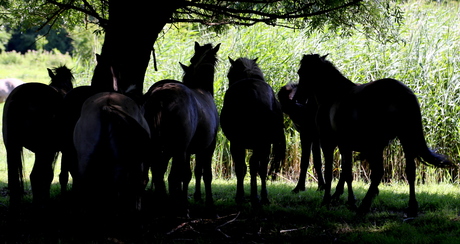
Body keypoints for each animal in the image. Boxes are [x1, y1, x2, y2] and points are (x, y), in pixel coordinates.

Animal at [2, 66, 73, 207]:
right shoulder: (57, 150)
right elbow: (58, 175)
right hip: (43, 150)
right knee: (35, 176)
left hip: (12, 148)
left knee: (14, 180)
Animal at [144, 41, 221, 212]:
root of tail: (160, 95)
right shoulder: (208, 147)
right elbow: (206, 175)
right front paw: (209, 202)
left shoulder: (188, 150)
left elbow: (187, 175)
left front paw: (186, 198)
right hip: (177, 149)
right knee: (171, 177)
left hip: (160, 148)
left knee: (157, 174)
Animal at [221, 57, 286, 206]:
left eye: (229, 75)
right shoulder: (265, 144)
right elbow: (260, 169)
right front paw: (262, 196)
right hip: (260, 143)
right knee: (254, 165)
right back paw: (255, 197)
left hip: (241, 142)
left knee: (244, 166)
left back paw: (244, 197)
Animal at [294, 54, 452, 216]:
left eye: (301, 72)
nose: (298, 98)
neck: (333, 96)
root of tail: (403, 93)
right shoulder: (345, 145)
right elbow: (347, 173)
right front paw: (348, 200)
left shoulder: (328, 143)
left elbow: (331, 173)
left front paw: (328, 200)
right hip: (404, 139)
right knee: (410, 171)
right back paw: (411, 207)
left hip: (377, 144)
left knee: (378, 173)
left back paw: (364, 206)